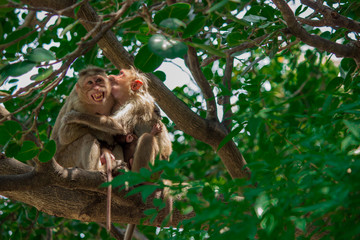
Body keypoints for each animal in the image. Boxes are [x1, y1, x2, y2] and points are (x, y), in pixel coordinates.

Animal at [62, 67, 173, 240]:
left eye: (121, 74)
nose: (113, 75)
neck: (130, 96)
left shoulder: (136, 104)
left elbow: (117, 125)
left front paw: (76, 116)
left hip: (155, 166)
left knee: (147, 138)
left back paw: (137, 178)